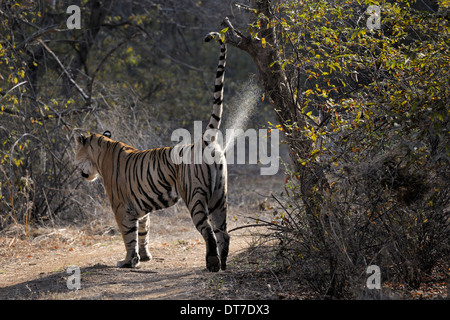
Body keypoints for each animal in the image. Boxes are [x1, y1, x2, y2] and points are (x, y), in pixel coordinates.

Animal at [74, 33, 229, 272]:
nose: (77, 170)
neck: (101, 150)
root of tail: (203, 141)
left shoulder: (121, 208)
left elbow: (128, 237)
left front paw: (128, 262)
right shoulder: (141, 208)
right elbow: (143, 232)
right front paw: (145, 257)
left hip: (195, 197)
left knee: (209, 231)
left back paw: (212, 263)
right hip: (219, 196)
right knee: (224, 233)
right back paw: (224, 263)